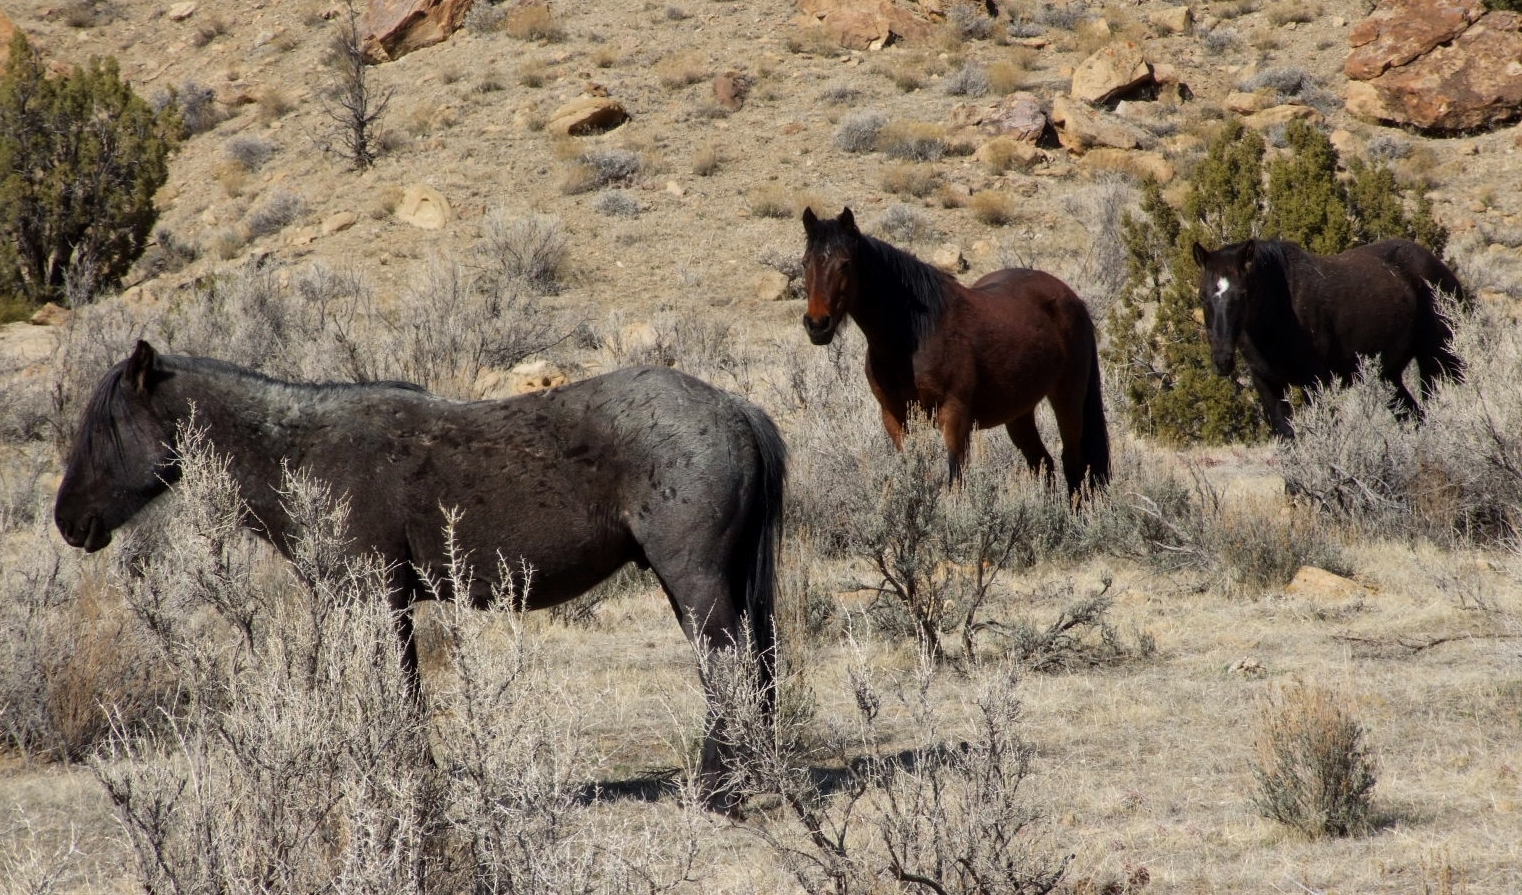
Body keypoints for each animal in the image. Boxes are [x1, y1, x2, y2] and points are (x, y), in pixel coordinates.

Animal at [54, 340, 786, 812]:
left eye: (104, 427)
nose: (68, 521)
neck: (301, 449)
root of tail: (731, 408)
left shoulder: (381, 597)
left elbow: (401, 692)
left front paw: (411, 780)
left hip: (693, 580)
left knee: (726, 665)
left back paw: (720, 792)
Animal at [801, 207, 1109, 495]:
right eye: (805, 263)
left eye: (845, 263)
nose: (817, 324)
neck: (914, 336)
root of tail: (1073, 299)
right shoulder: (894, 418)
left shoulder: (954, 416)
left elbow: (956, 481)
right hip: (1020, 412)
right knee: (1043, 463)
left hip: (1068, 398)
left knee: (1073, 463)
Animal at [1191, 237, 1465, 437]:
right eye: (1203, 296)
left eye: (1243, 294)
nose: (1222, 360)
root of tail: (1442, 270)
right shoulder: (1267, 384)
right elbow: (1286, 437)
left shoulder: (1317, 383)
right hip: (1389, 375)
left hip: (1436, 359)